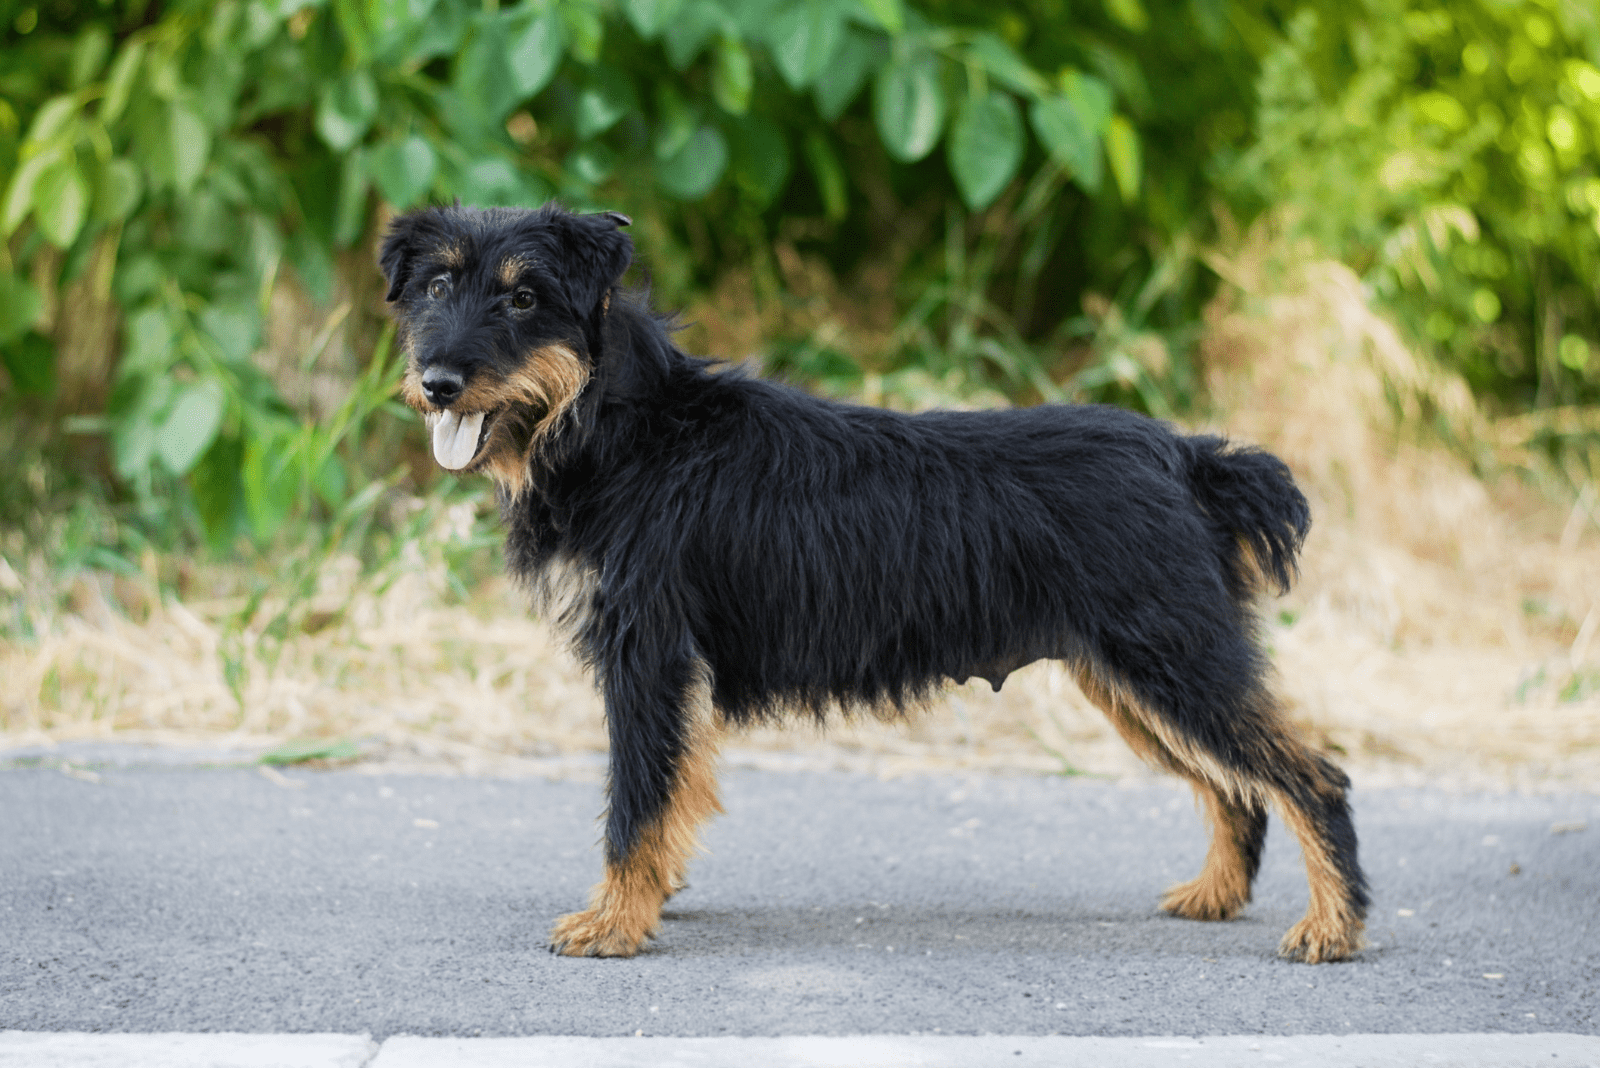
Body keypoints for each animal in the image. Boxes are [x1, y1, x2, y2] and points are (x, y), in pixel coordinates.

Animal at [380, 199, 1369, 959]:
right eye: (437, 286)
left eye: (524, 296)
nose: (437, 382)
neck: (623, 425)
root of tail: (1188, 457)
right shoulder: (667, 671)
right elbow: (672, 791)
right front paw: (651, 899)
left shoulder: (647, 659)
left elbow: (636, 799)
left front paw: (615, 924)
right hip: (1135, 680)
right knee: (1237, 788)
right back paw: (1218, 897)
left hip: (1175, 662)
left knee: (1311, 777)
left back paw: (1333, 927)